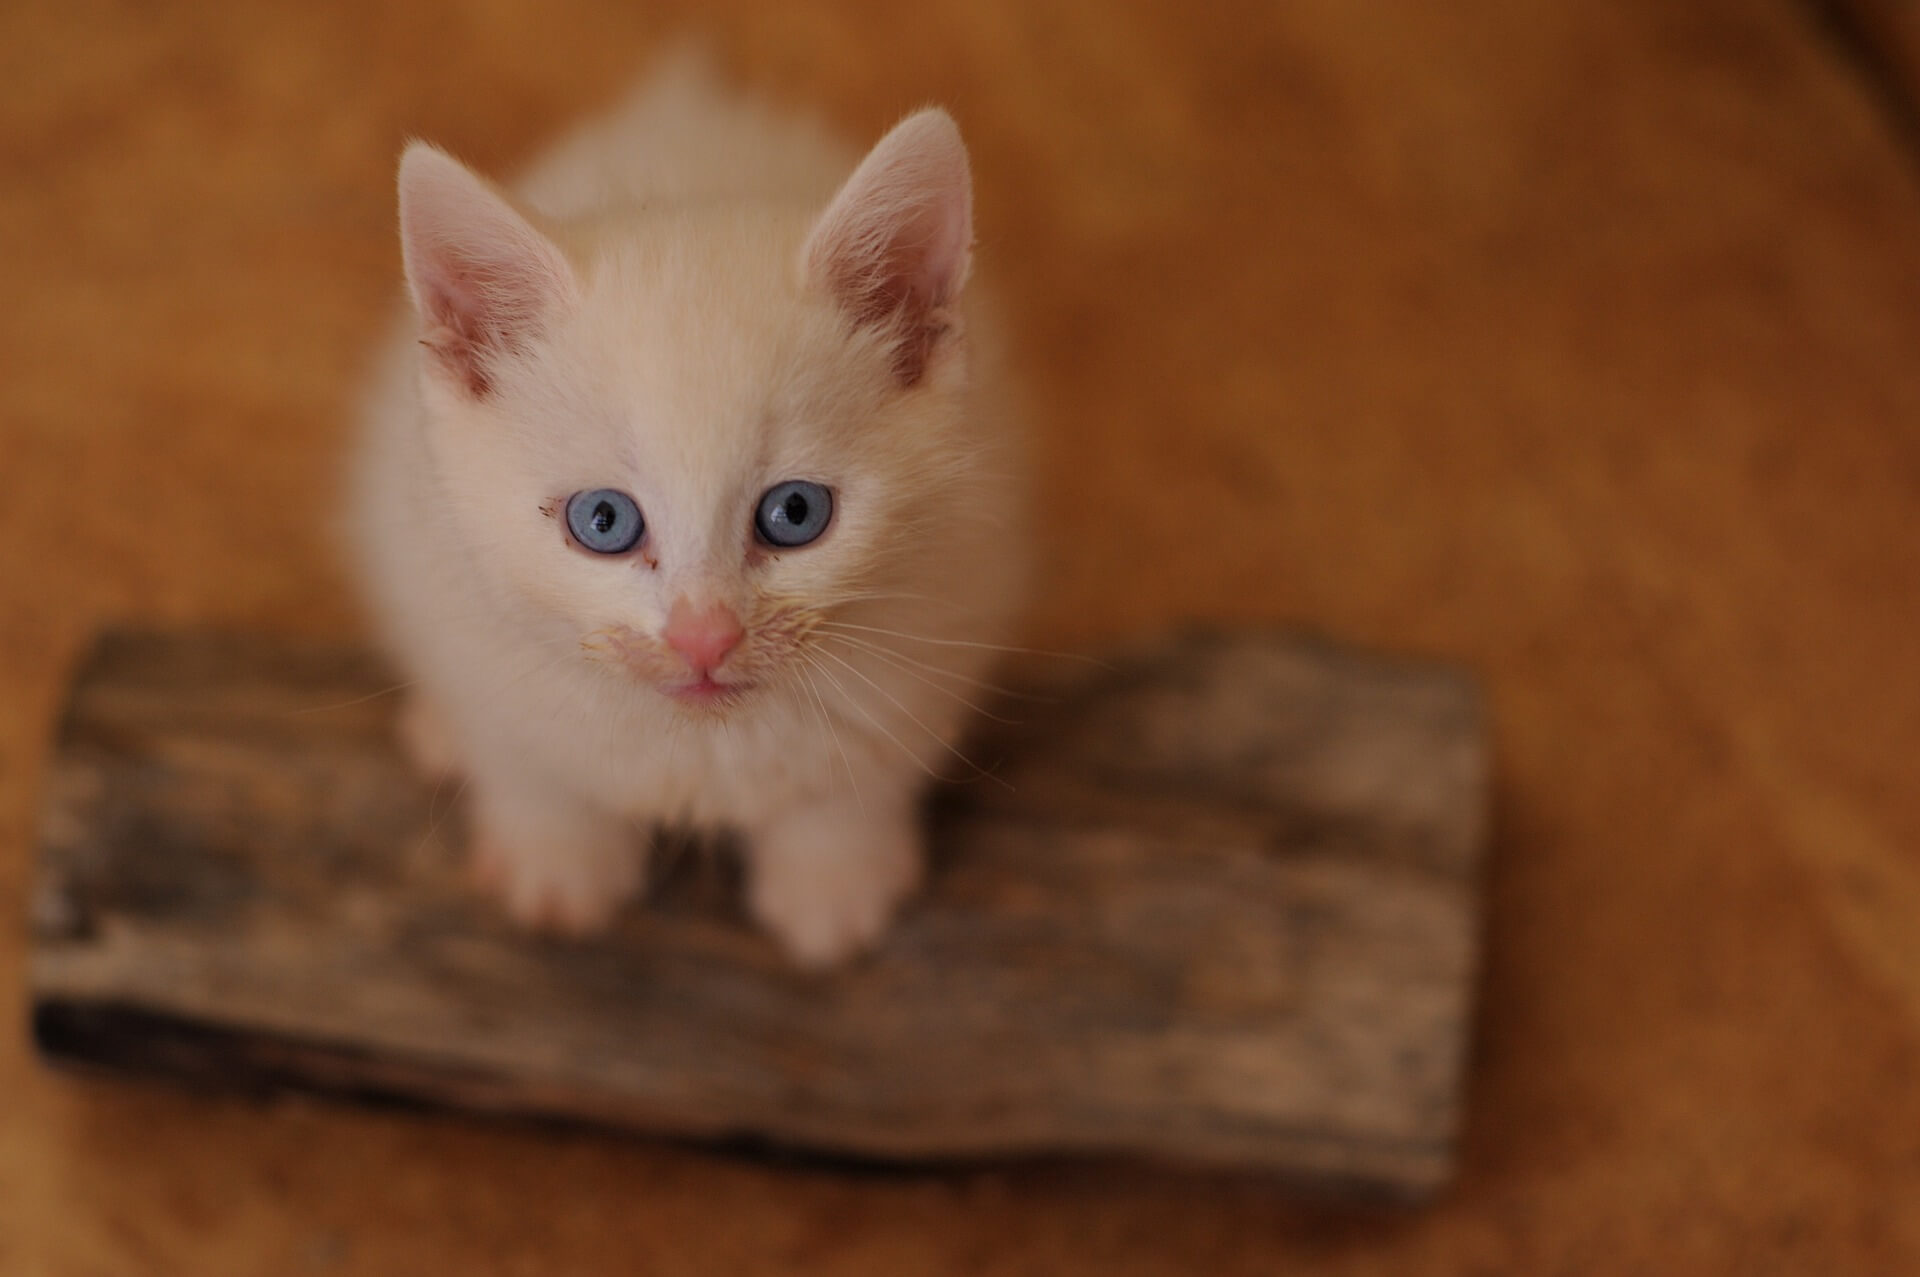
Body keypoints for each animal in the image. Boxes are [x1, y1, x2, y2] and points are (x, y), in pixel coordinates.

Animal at [351, 54, 1029, 960]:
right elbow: (530, 765)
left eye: (795, 512)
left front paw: (833, 884)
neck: (705, 748)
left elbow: (858, 777)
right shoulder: (460, 617)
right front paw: (557, 868)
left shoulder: (954, 601)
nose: (703, 636)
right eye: (603, 520)